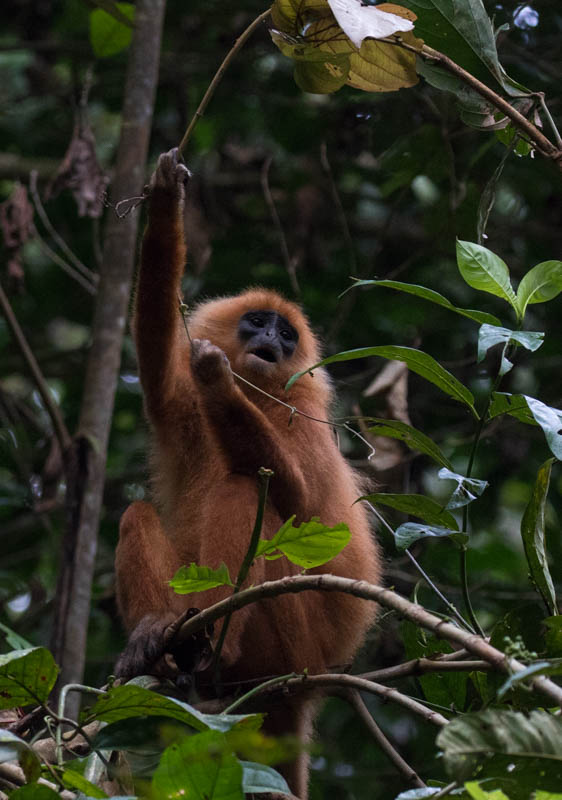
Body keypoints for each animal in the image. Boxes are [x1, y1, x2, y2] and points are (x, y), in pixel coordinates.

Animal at [116, 148, 380, 792]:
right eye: (258, 322)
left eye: (286, 333)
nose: (273, 342)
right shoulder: (177, 403)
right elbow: (154, 343)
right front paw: (167, 200)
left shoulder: (304, 411)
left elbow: (302, 500)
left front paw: (219, 381)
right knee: (137, 513)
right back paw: (159, 641)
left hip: (294, 637)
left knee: (243, 491)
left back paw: (217, 648)